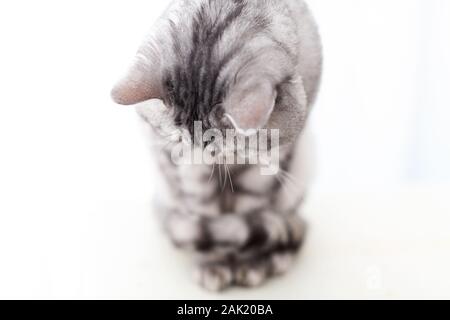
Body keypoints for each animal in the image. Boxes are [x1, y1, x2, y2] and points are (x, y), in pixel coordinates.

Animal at [112, 0, 324, 290]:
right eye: (180, 140)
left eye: (228, 148)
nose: (204, 158)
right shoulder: (191, 174)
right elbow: (210, 222)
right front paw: (214, 263)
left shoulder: (264, 169)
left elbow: (246, 218)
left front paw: (249, 262)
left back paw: (276, 256)